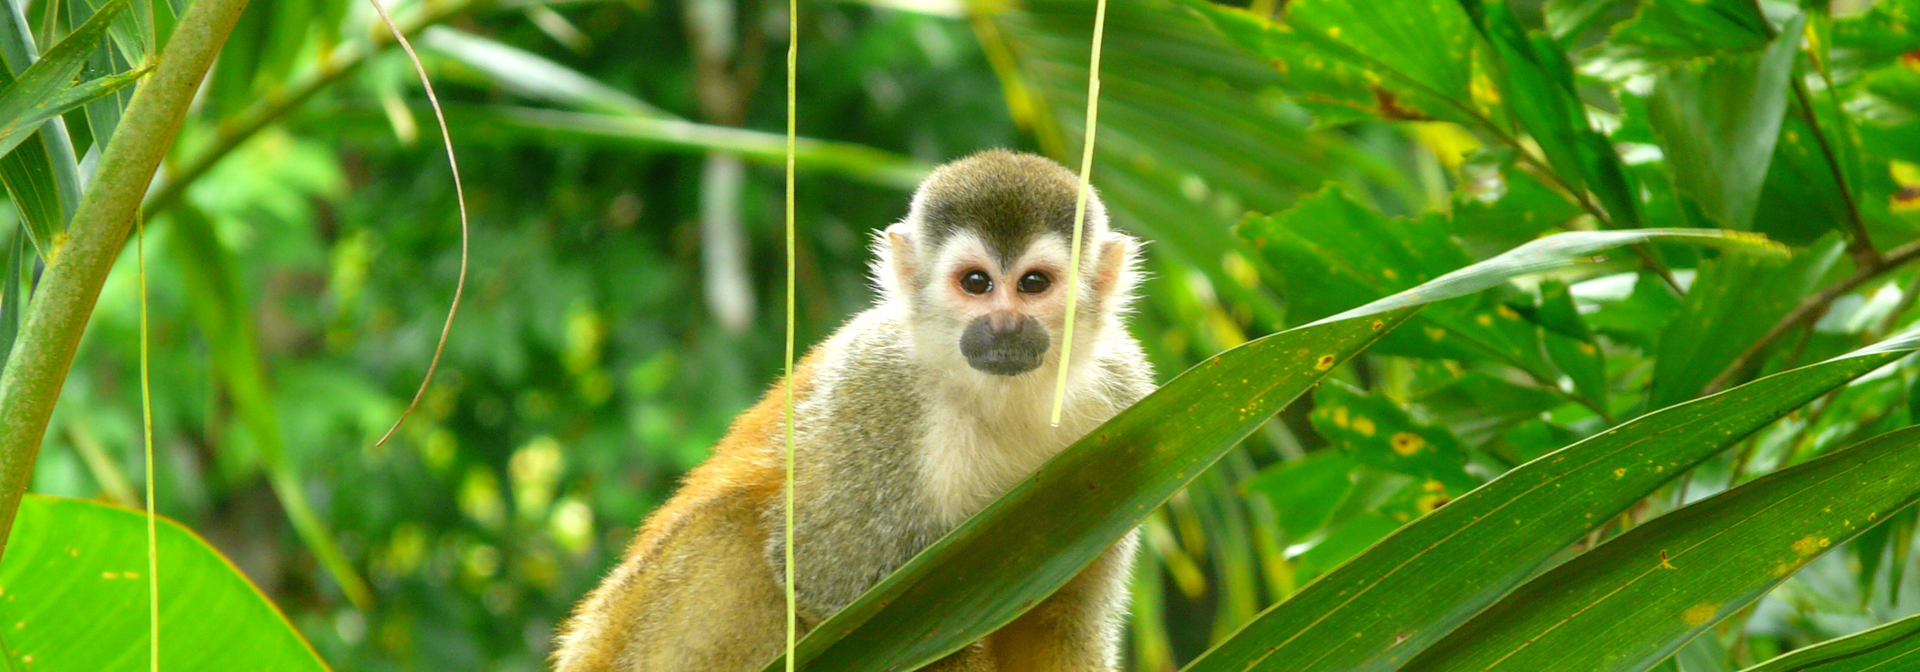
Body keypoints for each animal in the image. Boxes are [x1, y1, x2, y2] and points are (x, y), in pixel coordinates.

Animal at [556, 152, 1152, 672]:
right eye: (976, 283)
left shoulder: (1126, 394)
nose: (1004, 327)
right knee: (733, 536)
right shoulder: (875, 392)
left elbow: (1066, 618)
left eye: (1033, 284)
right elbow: (833, 585)